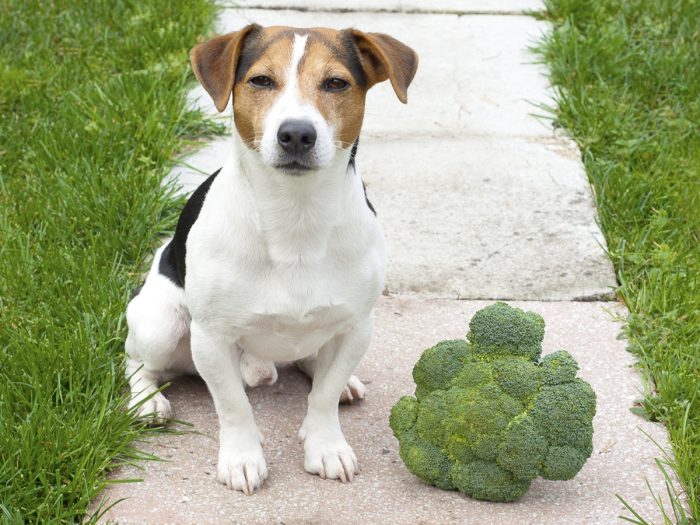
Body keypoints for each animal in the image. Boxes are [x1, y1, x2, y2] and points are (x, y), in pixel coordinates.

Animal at [123, 23, 418, 492]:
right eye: (261, 80)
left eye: (336, 83)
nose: (296, 133)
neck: (296, 216)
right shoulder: (212, 338)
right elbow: (233, 406)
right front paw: (242, 458)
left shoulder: (357, 327)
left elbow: (324, 397)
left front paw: (325, 445)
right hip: (161, 326)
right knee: (135, 363)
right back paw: (147, 402)